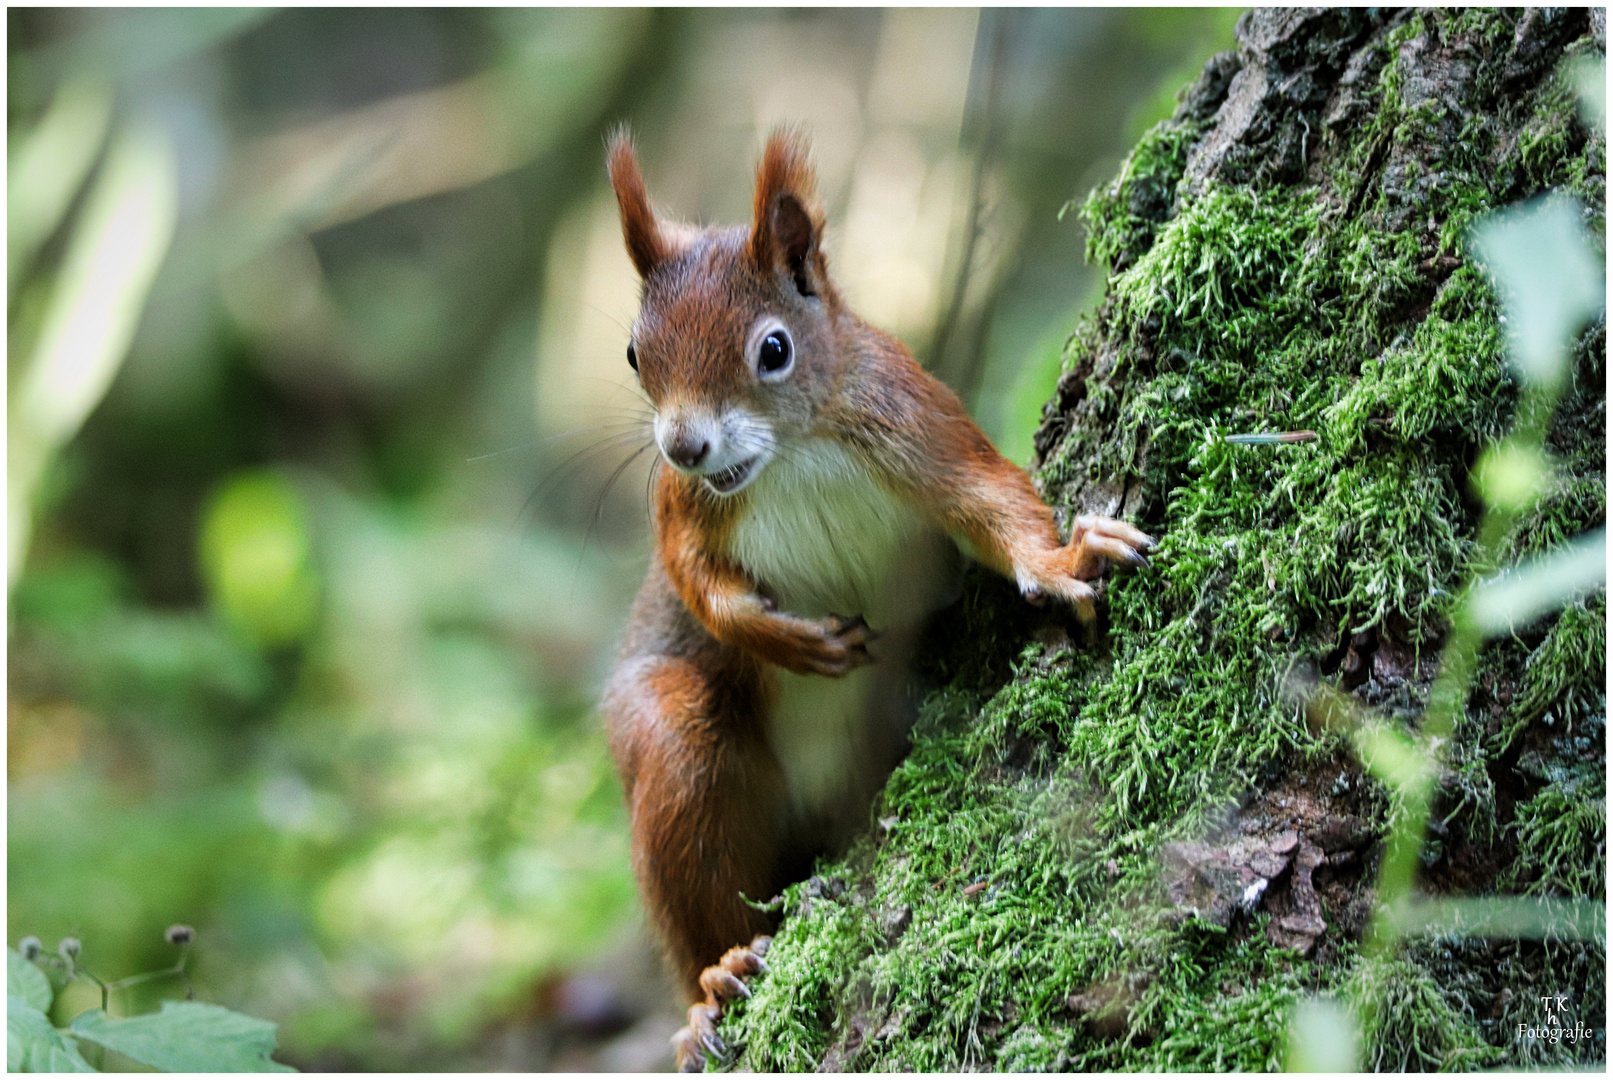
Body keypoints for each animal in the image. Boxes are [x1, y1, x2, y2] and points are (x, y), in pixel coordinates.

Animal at [603, 131, 1148, 1070]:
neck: (791, 453)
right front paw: (784, 638)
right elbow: (693, 581)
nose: (684, 445)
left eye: (773, 350)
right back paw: (714, 985)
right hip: (679, 744)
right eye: (637, 354)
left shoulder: (915, 422)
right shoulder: (683, 509)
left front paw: (1060, 556)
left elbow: (991, 501)